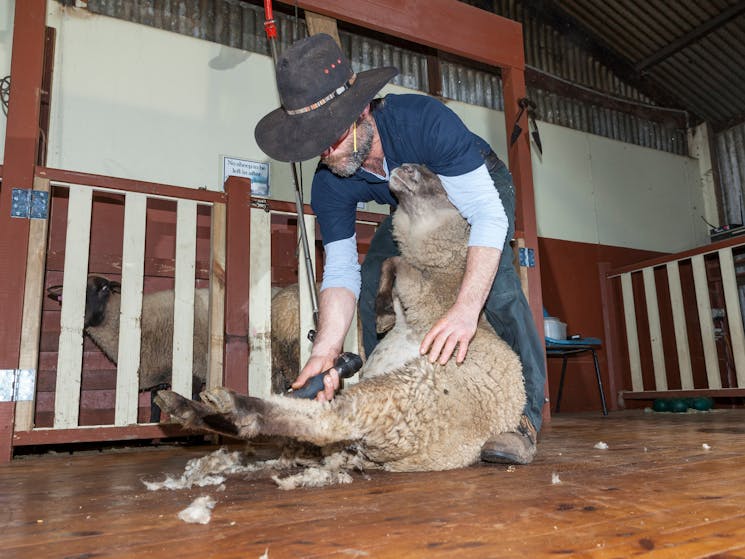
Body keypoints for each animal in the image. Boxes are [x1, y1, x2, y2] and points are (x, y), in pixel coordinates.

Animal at [154, 165, 528, 476]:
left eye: (441, 184)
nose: (406, 167)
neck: (446, 269)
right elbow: (390, 266)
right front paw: (383, 314)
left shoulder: (423, 295)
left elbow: (394, 262)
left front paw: (381, 313)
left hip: (402, 394)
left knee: (325, 420)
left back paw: (225, 407)